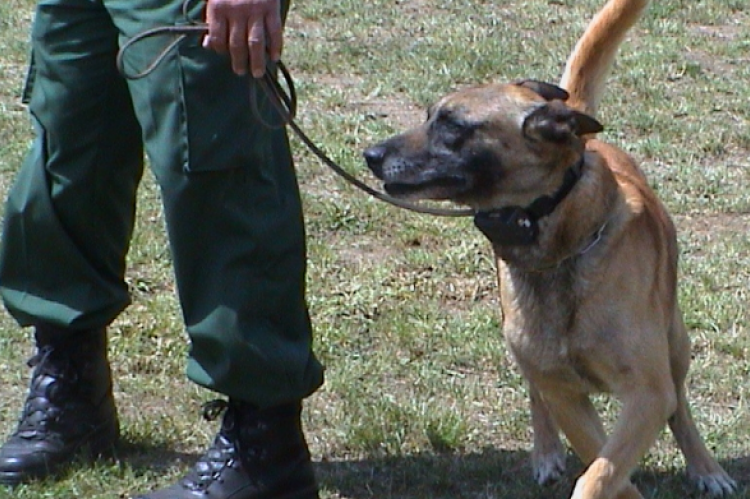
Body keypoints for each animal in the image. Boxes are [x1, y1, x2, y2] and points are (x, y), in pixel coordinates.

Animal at [364, 0, 740, 499]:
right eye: (430, 117)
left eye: (453, 126)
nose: (370, 154)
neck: (562, 249)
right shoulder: (566, 395)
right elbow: (603, 468)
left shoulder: (647, 392)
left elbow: (603, 470)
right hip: (526, 349)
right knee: (536, 392)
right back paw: (545, 452)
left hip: (675, 342)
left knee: (681, 406)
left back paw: (706, 467)